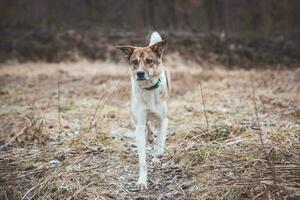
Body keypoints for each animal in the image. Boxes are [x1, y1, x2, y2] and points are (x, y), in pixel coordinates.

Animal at [116, 31, 170, 189]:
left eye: (149, 61)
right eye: (134, 62)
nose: (140, 73)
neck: (148, 89)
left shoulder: (164, 120)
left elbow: (160, 145)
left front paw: (157, 156)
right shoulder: (139, 125)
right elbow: (142, 159)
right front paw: (142, 180)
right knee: (148, 128)